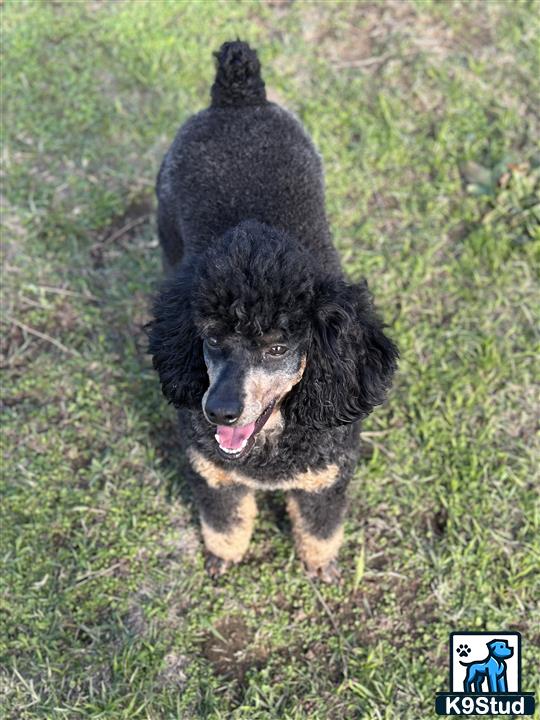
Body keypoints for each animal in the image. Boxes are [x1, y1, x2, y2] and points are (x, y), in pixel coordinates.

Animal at [148, 40, 396, 580]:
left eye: (278, 347)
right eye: (211, 337)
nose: (218, 411)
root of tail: (238, 98)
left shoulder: (326, 479)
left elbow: (320, 529)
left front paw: (320, 567)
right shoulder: (214, 474)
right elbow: (225, 521)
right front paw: (223, 555)